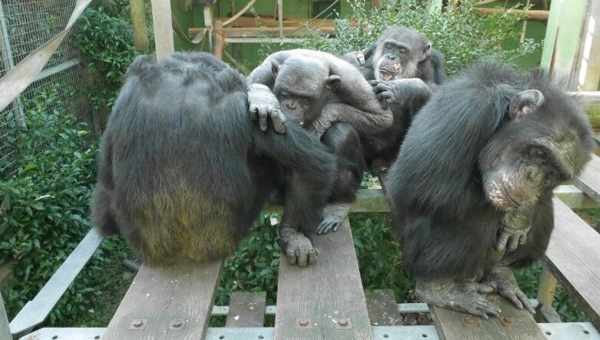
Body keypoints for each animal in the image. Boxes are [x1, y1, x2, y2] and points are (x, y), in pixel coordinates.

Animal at [91, 51, 340, 266]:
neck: (185, 78)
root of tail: (186, 253)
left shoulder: (123, 99)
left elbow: (105, 184)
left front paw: (293, 235)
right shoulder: (245, 105)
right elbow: (313, 165)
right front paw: (294, 234)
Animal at [248, 49, 394, 234]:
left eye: (304, 99)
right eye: (285, 94)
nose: (291, 106)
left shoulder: (353, 83)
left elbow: (381, 117)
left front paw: (321, 121)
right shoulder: (264, 71)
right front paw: (263, 99)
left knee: (341, 133)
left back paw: (338, 205)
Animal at [386, 61, 592, 318]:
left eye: (553, 173)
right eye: (540, 153)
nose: (533, 177)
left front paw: (520, 218)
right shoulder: (469, 112)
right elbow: (415, 184)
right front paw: (515, 217)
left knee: (544, 213)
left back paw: (501, 273)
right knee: (474, 220)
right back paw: (439, 289)